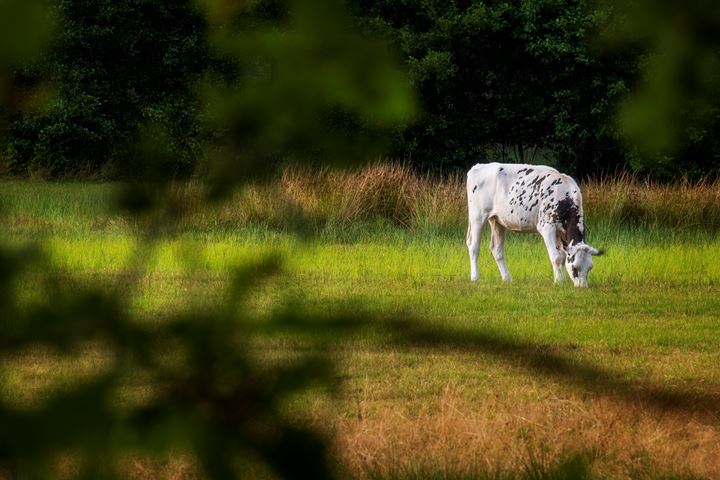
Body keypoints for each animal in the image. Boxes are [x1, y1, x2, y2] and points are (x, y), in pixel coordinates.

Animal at [466, 161, 600, 288]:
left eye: (589, 268)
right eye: (575, 268)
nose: (582, 287)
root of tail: (479, 166)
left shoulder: (559, 232)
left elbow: (562, 257)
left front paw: (562, 280)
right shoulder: (547, 227)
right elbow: (556, 257)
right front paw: (558, 281)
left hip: (497, 220)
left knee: (496, 249)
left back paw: (507, 278)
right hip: (477, 216)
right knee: (474, 246)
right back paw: (475, 277)